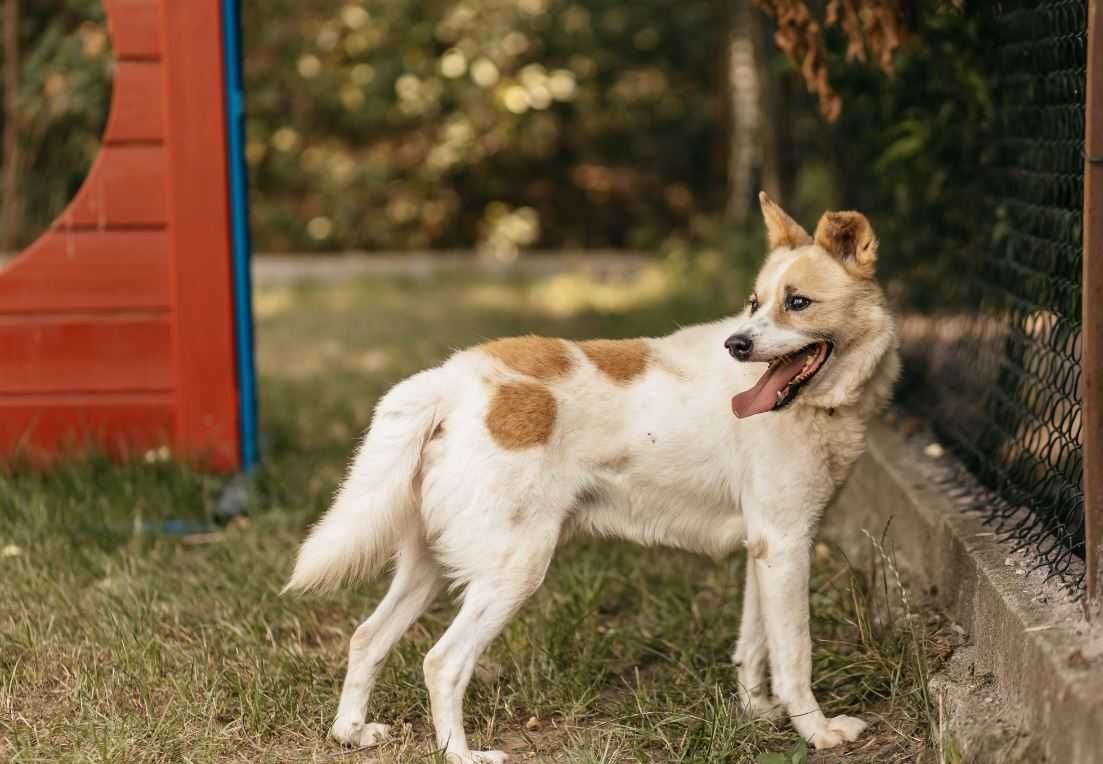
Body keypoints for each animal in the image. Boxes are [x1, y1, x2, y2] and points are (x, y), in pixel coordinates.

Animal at [282, 194, 895, 758]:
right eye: (756, 303)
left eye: (797, 303)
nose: (737, 344)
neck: (820, 406)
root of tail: (449, 378)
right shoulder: (787, 544)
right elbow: (795, 654)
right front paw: (817, 732)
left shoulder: (764, 547)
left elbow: (755, 644)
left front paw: (757, 711)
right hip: (515, 568)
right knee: (442, 662)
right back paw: (460, 752)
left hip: (429, 566)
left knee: (366, 638)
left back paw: (352, 731)